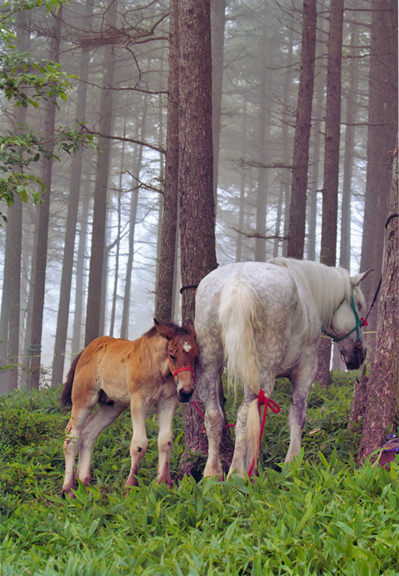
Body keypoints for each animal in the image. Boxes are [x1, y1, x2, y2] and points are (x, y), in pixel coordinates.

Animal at [195, 258, 370, 480]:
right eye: (359, 305)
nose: (361, 353)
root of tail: (237, 281)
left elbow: (258, 419)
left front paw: (254, 467)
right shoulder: (305, 371)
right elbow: (297, 416)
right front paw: (292, 463)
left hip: (210, 365)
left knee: (214, 415)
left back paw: (212, 473)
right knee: (243, 416)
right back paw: (236, 474)